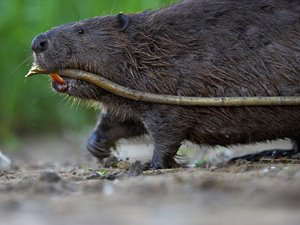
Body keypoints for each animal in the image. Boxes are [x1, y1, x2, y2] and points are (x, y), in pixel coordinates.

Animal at [31, 0, 300, 169]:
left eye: (81, 30)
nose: (37, 42)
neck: (151, 47)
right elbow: (120, 121)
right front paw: (97, 147)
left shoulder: (173, 93)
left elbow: (167, 132)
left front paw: (150, 165)